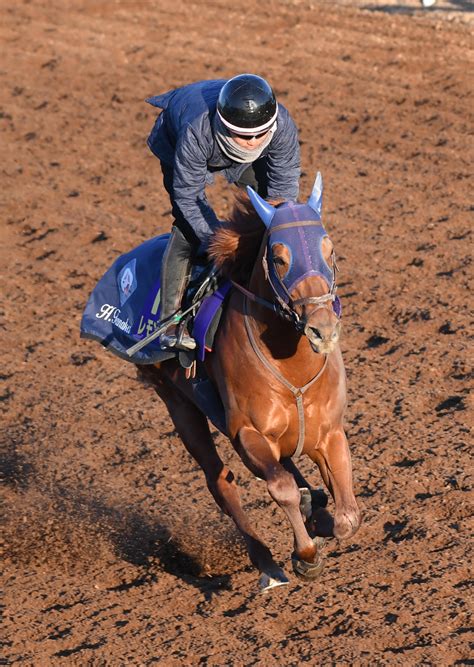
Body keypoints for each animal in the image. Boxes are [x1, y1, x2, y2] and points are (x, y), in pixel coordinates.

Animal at [139, 172, 362, 588]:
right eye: (279, 258)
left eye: (330, 250)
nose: (323, 330)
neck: (293, 369)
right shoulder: (247, 432)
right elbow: (281, 488)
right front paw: (305, 554)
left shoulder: (330, 432)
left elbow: (347, 518)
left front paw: (322, 516)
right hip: (178, 404)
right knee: (221, 481)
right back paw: (268, 565)